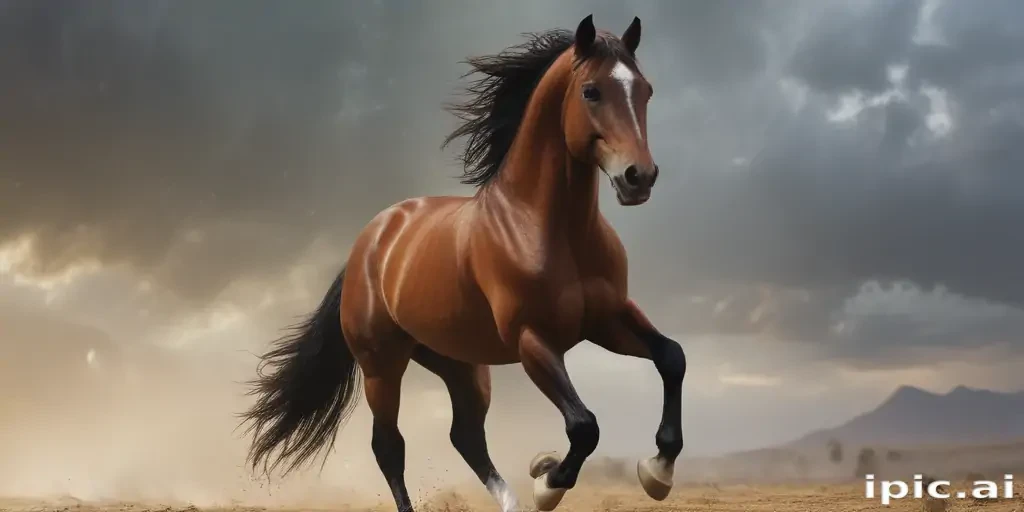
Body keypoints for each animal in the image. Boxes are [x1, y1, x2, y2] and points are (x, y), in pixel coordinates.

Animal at [239, 14, 686, 512]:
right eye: (591, 91)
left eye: (646, 90)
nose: (639, 178)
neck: (549, 227)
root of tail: (368, 244)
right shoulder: (534, 339)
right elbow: (584, 425)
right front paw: (548, 482)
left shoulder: (606, 319)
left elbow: (672, 357)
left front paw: (657, 472)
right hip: (382, 366)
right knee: (389, 446)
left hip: (462, 366)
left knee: (467, 437)